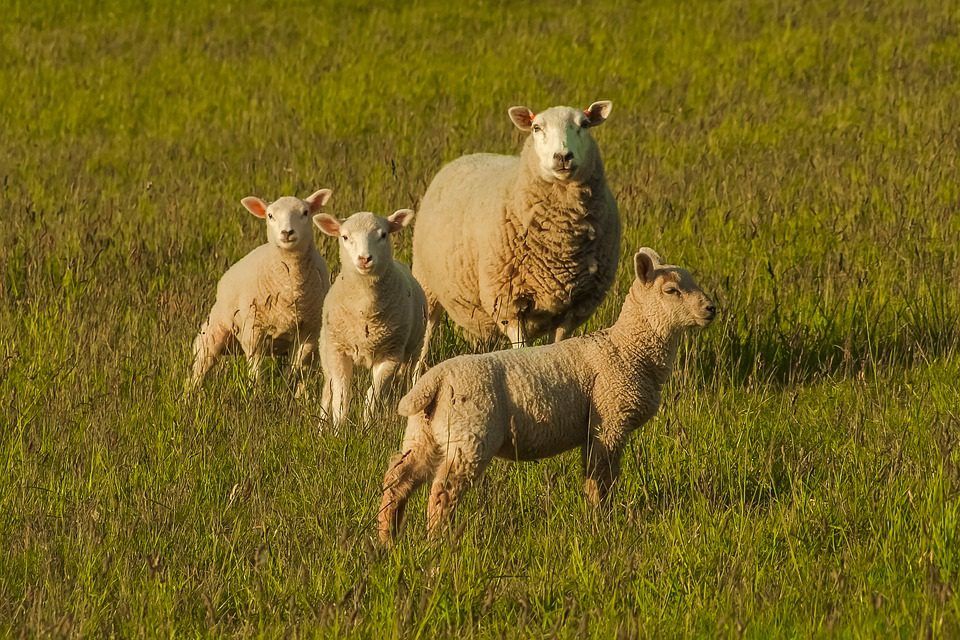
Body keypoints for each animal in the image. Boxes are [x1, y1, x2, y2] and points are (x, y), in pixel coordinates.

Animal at [188, 189, 333, 396]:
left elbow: (295, 369)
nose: (287, 233)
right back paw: (189, 395)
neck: (291, 287)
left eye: (305, 213)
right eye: (270, 215)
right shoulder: (253, 330)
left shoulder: (309, 333)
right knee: (200, 368)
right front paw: (256, 393)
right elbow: (255, 368)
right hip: (212, 333)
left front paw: (287, 391)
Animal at [314, 209, 427, 425]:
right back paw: (322, 425)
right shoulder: (338, 352)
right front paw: (339, 427)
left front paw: (367, 424)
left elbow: (372, 395)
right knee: (327, 391)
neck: (365, 308)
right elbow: (341, 397)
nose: (364, 259)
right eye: (345, 237)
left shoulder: (391, 354)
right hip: (326, 351)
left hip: (414, 350)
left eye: (383, 235)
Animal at [377, 248, 716, 543]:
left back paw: (388, 539)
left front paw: (595, 518)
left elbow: (595, 476)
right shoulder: (609, 422)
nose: (711, 309)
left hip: (426, 433)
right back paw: (438, 542)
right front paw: (603, 521)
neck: (627, 348)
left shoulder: (598, 427)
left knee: (398, 480)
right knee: (442, 490)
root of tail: (434, 380)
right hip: (470, 434)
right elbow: (603, 478)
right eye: (671, 290)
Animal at [411, 100, 620, 375]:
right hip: (427, 285)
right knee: (424, 340)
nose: (563, 157)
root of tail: (469, 155)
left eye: (584, 125)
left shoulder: (573, 309)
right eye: (536, 128)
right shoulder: (509, 304)